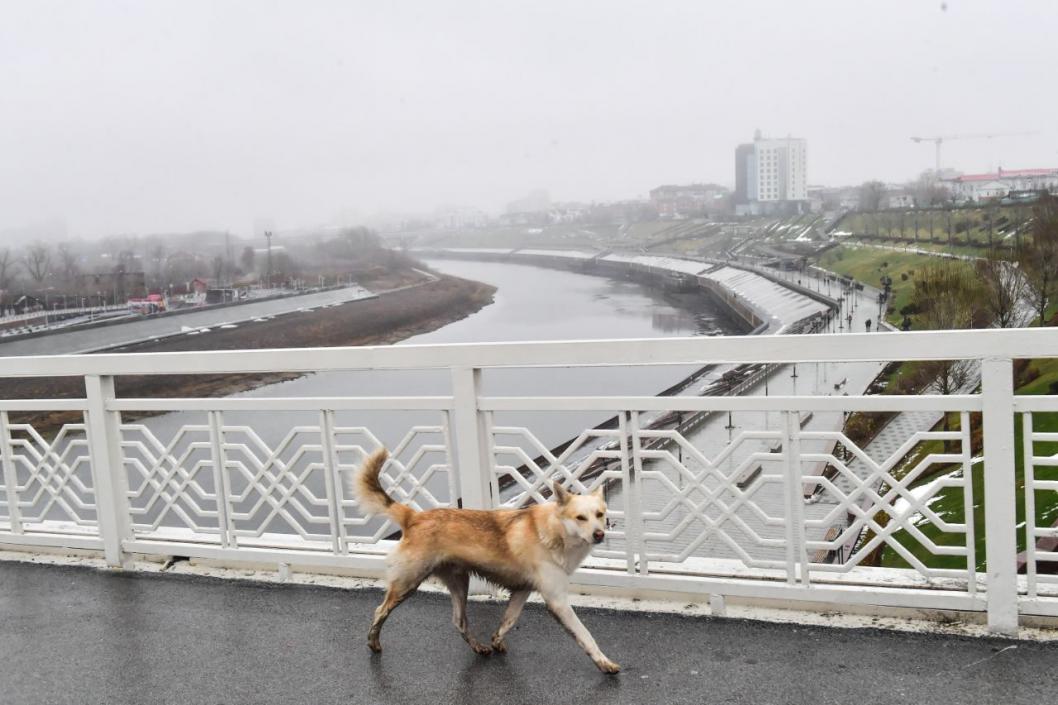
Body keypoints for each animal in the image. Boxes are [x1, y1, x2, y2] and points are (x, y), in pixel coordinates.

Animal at [353, 446, 617, 673]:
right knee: (380, 610)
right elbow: (585, 635)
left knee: (459, 622)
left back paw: (479, 648)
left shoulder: (522, 590)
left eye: (599, 514)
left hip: (459, 583)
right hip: (407, 582)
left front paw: (496, 641)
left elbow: (508, 620)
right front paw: (604, 662)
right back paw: (373, 642)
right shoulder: (557, 601)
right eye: (580, 518)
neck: (554, 532)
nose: (599, 534)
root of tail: (414, 517)